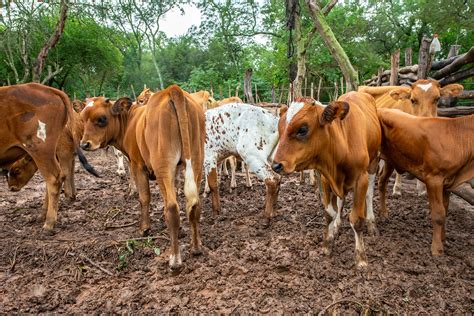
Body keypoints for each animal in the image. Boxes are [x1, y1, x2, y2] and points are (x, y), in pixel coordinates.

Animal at [0, 82, 85, 231]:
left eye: (17, 170)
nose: (11, 188)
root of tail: (45, 88)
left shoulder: (63, 153)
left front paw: (69, 196)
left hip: (41, 151)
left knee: (54, 179)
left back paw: (49, 223)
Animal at [80, 85, 206, 270]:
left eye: (102, 119)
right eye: (82, 119)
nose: (84, 144)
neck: (130, 120)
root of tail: (173, 90)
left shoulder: (137, 165)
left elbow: (144, 197)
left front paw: (144, 228)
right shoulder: (176, 170)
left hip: (163, 165)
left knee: (172, 208)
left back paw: (175, 259)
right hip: (196, 160)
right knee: (194, 204)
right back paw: (196, 247)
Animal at [272, 92, 380, 266]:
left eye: (302, 129)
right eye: (279, 129)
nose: (276, 165)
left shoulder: (360, 179)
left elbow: (357, 219)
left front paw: (361, 258)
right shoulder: (325, 178)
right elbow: (329, 212)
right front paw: (327, 244)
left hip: (374, 162)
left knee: (369, 195)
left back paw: (371, 223)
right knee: (341, 200)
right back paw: (337, 225)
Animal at [376, 110, 472, 256]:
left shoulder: (447, 183)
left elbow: (445, 210)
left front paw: (443, 240)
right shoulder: (434, 179)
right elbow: (438, 213)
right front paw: (437, 249)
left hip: (390, 161)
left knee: (382, 182)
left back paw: (383, 214)